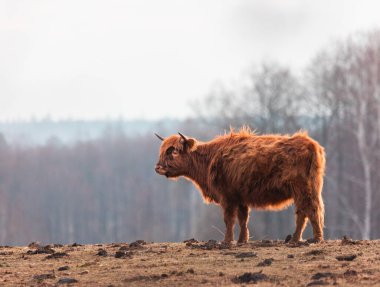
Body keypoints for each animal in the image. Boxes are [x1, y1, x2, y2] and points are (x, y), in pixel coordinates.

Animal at [153, 127, 326, 244]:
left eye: (174, 151)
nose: (158, 168)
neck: (208, 160)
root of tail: (310, 143)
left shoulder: (227, 197)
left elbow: (229, 219)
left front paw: (227, 241)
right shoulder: (240, 196)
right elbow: (243, 218)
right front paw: (242, 240)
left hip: (303, 189)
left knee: (310, 209)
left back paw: (315, 238)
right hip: (305, 190)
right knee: (303, 212)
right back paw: (296, 239)